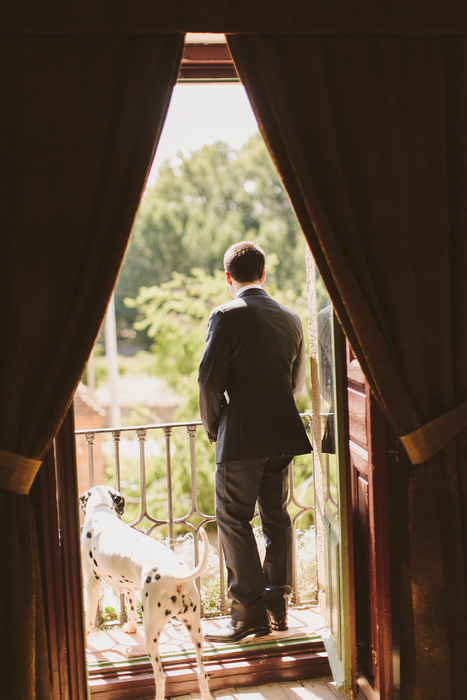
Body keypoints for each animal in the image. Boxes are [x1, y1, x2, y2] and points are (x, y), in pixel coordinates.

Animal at [79, 484, 213, 700]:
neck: (102, 512)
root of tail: (176, 577)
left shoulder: (92, 581)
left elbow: (90, 619)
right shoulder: (129, 587)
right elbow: (131, 608)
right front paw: (131, 627)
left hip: (152, 634)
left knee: (160, 677)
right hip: (195, 631)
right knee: (202, 673)